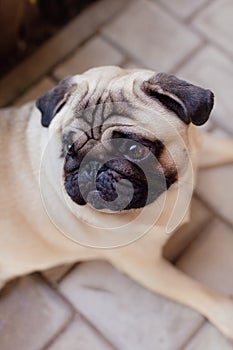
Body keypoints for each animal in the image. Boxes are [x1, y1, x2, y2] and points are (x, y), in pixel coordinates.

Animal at [0, 66, 233, 340]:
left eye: (134, 149)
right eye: (68, 148)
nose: (91, 167)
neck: (171, 188)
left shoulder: (198, 148)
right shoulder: (145, 266)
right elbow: (196, 291)